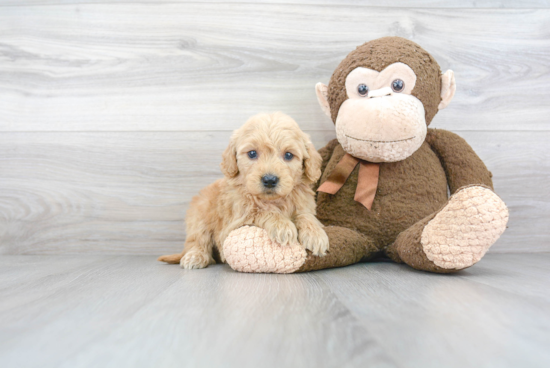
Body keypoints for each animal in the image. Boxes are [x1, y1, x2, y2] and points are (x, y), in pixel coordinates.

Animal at [160, 110, 332, 268]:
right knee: (197, 241)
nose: (270, 180)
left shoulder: (304, 204)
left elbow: (306, 215)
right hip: (199, 216)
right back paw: (195, 257)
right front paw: (282, 226)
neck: (274, 200)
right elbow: (261, 211)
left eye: (289, 155)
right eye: (252, 153)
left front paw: (315, 234)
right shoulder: (235, 222)